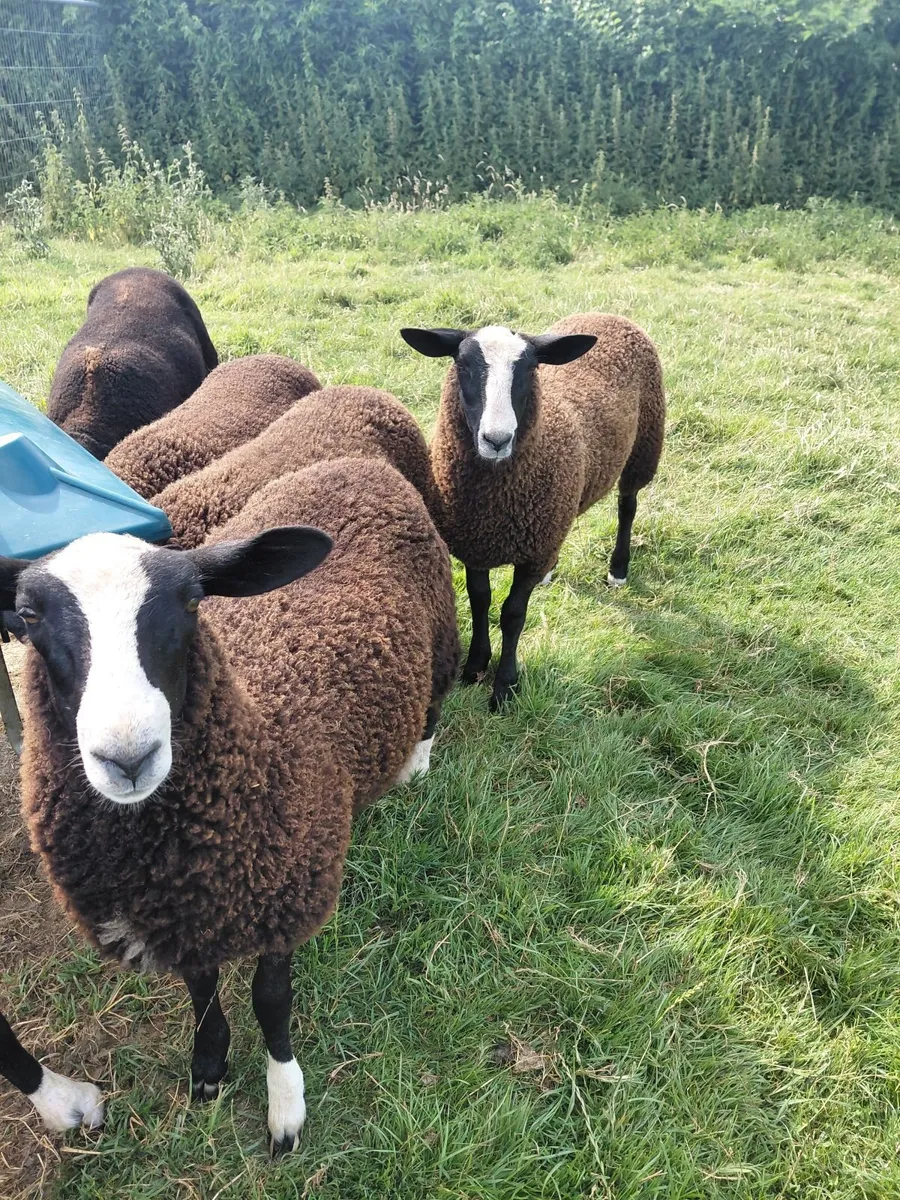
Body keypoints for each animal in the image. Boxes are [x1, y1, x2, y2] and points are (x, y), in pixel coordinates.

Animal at [1, 456, 459, 1155]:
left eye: (192, 601)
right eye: (26, 617)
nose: (128, 756)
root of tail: (359, 464)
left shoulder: (287, 895)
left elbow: (271, 1001)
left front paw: (285, 1106)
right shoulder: (190, 913)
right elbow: (202, 986)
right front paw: (210, 1066)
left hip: (440, 633)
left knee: (435, 699)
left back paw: (418, 763)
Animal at [402, 312, 665, 710]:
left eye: (529, 368)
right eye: (462, 365)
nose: (497, 440)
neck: (497, 502)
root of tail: (607, 314)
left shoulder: (531, 553)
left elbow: (513, 614)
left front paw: (504, 687)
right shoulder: (475, 542)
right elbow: (479, 600)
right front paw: (475, 666)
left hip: (644, 446)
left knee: (627, 505)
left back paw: (618, 569)